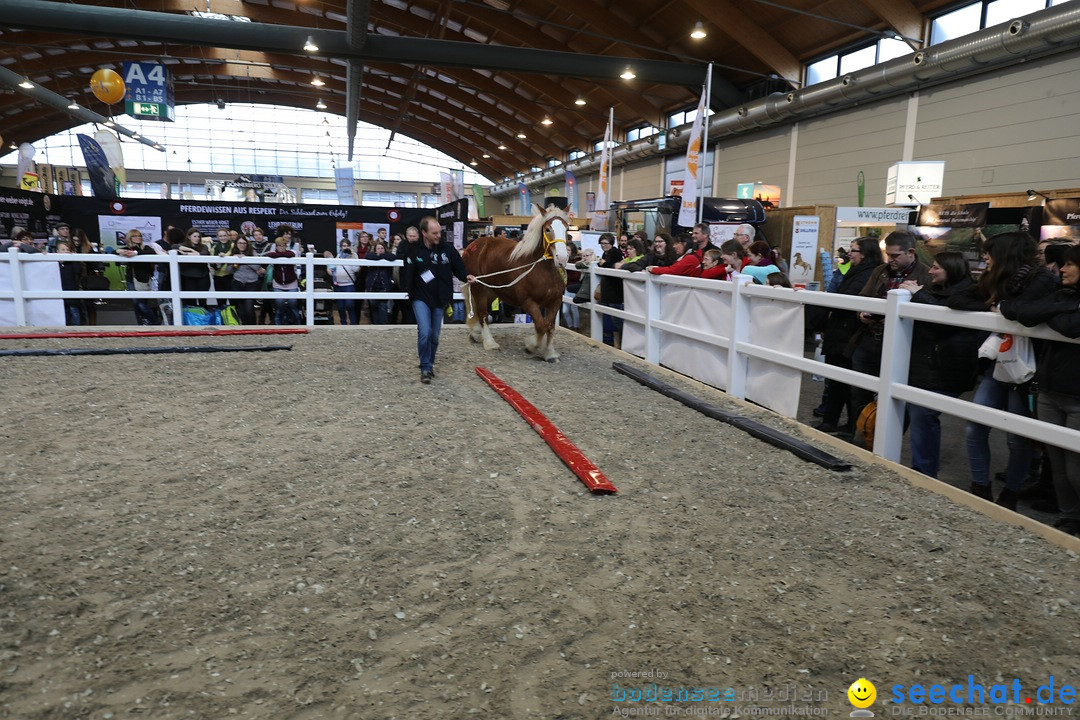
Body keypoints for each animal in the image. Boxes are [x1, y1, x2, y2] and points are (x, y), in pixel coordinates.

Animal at [460, 202, 570, 360]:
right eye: (548, 229)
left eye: (567, 228)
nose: (562, 258)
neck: (542, 269)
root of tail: (472, 246)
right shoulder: (528, 302)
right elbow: (541, 326)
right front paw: (531, 345)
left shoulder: (555, 301)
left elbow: (550, 327)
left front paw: (549, 353)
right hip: (478, 287)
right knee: (482, 314)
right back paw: (490, 343)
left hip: (491, 290)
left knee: (481, 313)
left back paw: (476, 335)